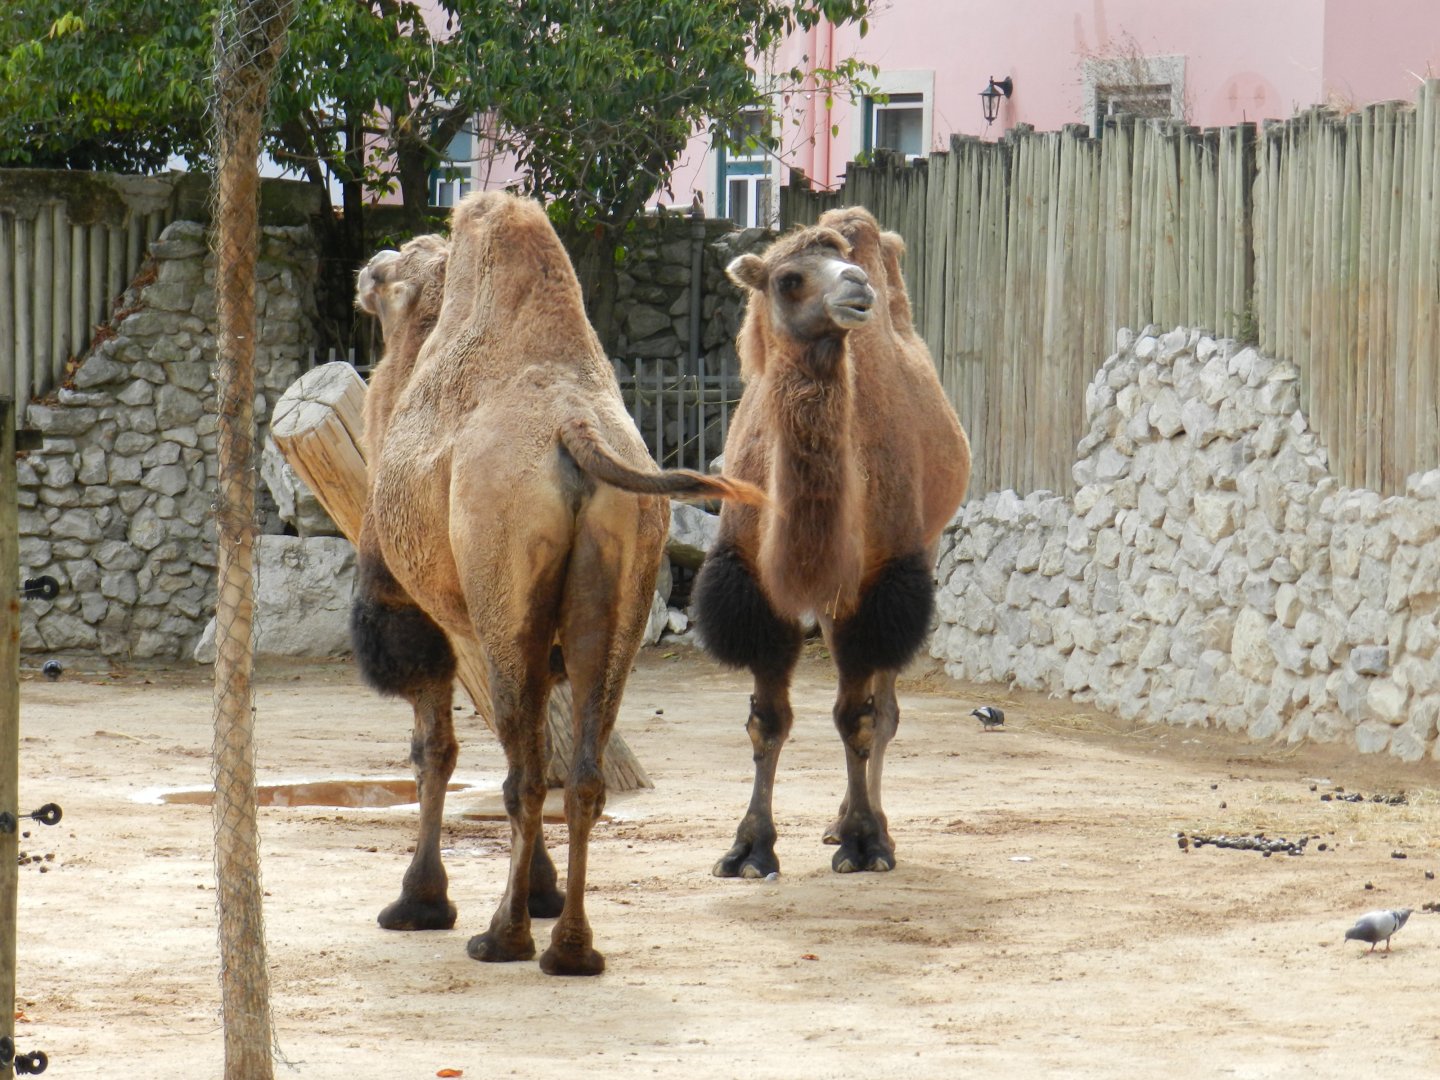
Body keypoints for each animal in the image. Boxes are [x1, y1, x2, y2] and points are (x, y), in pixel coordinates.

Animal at [352, 191, 763, 975]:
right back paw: (572, 947)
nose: (365, 267)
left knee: (520, 775)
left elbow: (434, 751)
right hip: (625, 578)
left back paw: (503, 937)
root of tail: (574, 430)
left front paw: (418, 903)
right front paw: (535, 892)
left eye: (390, 275)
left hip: (503, 593)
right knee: (579, 773)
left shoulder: (422, 616)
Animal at [692, 206, 970, 878]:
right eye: (789, 278)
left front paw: (865, 842)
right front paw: (748, 849)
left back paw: (864, 823)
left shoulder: (875, 587)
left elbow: (857, 719)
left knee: (883, 711)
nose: (857, 285)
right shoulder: (756, 589)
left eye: (842, 263)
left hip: (918, 554)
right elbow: (767, 722)